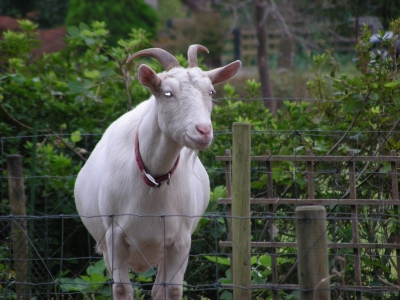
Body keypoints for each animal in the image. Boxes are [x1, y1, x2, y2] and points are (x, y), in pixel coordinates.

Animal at [74, 45, 241, 300]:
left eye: (211, 91)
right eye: (168, 93)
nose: (203, 130)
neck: (153, 179)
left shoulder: (180, 241)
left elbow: (172, 290)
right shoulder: (114, 238)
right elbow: (121, 289)